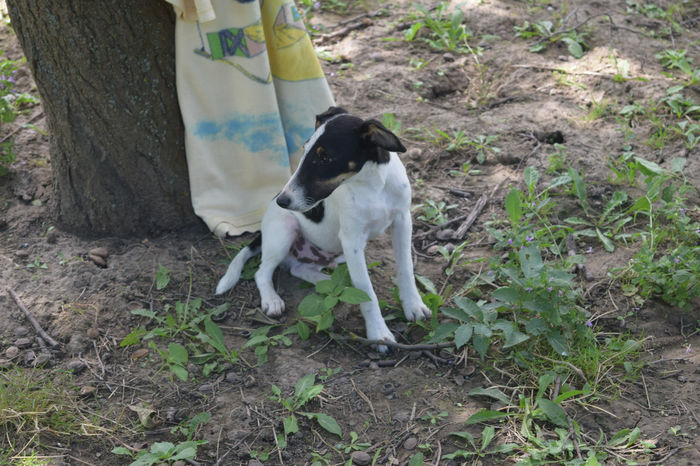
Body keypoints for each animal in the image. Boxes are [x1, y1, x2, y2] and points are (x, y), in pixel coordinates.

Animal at [216, 106, 430, 350]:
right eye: (305, 149)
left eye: (325, 157)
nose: (282, 201)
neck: (373, 186)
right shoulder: (352, 240)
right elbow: (366, 291)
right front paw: (378, 333)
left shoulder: (403, 222)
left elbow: (406, 269)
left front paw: (413, 305)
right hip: (284, 230)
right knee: (262, 272)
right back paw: (272, 299)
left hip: (330, 252)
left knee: (301, 269)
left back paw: (330, 283)